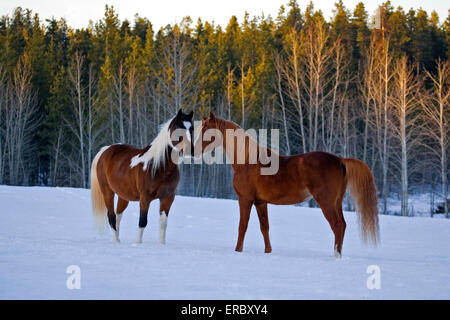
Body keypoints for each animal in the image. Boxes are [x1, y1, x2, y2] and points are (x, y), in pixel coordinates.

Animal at [90, 109, 193, 244]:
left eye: (191, 128)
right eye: (178, 127)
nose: (190, 151)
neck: (159, 166)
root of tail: (105, 150)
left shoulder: (168, 198)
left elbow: (163, 223)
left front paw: (162, 244)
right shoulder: (145, 198)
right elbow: (142, 222)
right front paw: (138, 244)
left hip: (123, 196)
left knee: (118, 216)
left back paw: (118, 238)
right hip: (107, 192)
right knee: (111, 216)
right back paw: (116, 241)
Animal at [197, 112, 380, 258]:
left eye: (207, 129)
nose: (194, 149)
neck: (247, 160)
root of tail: (340, 160)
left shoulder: (245, 200)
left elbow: (242, 226)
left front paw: (238, 251)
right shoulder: (260, 202)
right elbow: (265, 228)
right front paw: (268, 252)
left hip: (326, 202)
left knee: (337, 226)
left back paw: (336, 256)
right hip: (337, 202)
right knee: (342, 225)